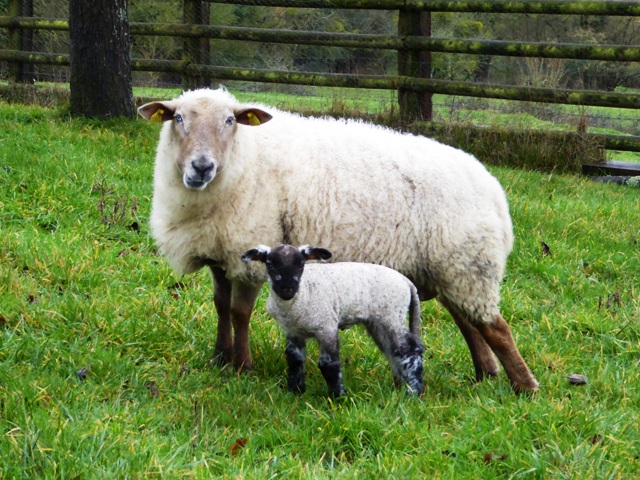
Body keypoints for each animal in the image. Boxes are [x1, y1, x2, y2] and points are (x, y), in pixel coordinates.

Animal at [242, 244, 424, 397]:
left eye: (301, 265)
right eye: (270, 265)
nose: (287, 289)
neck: (303, 293)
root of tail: (406, 282)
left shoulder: (326, 326)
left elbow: (328, 364)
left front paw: (338, 397)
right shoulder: (293, 331)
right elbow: (294, 359)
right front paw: (295, 392)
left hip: (393, 315)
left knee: (409, 351)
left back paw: (414, 392)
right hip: (378, 321)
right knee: (393, 351)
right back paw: (400, 386)